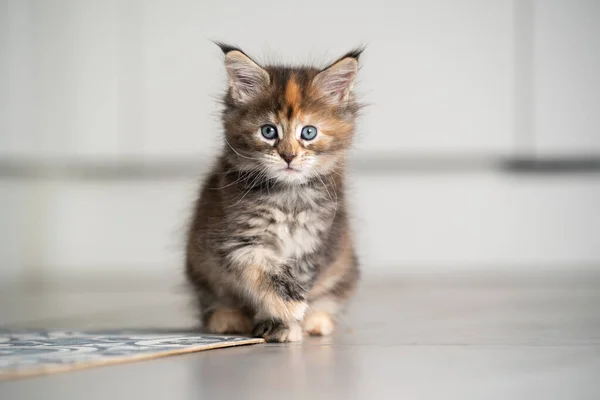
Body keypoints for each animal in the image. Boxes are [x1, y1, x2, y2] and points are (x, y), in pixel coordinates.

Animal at [185, 44, 360, 344]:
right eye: (268, 131)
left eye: (308, 132)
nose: (288, 156)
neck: (287, 197)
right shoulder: (236, 240)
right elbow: (260, 268)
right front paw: (286, 308)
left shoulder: (313, 245)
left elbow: (301, 282)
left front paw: (287, 323)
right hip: (200, 269)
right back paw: (227, 319)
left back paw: (317, 320)